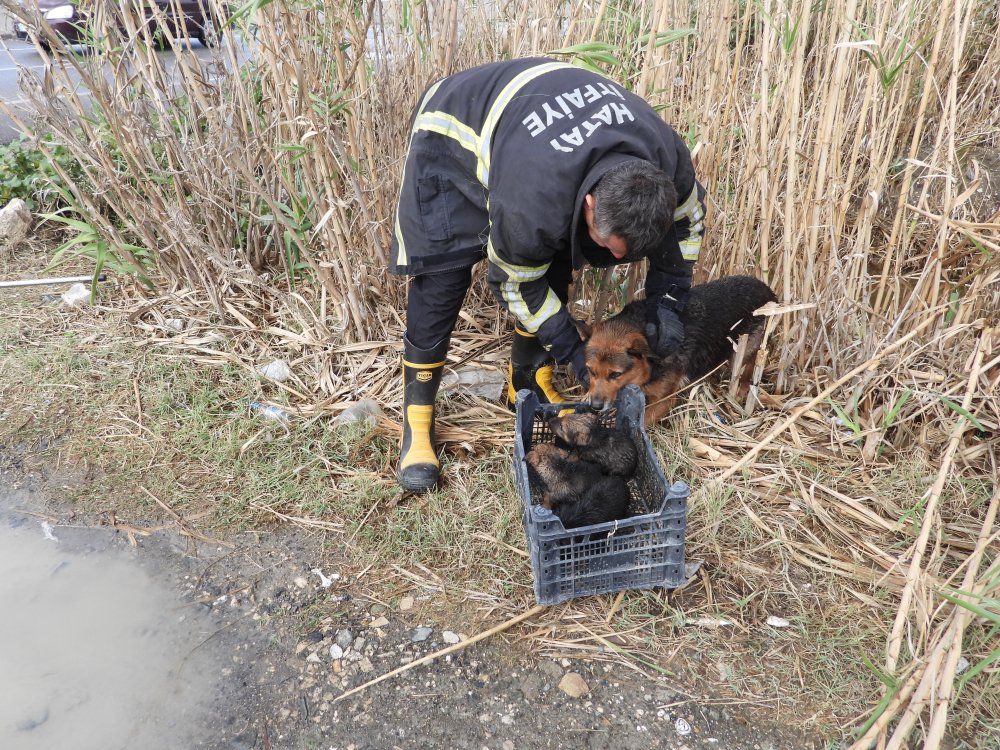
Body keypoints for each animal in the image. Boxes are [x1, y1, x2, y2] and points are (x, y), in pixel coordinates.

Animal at [576, 278, 776, 428]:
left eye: (615, 374)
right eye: (591, 371)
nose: (595, 406)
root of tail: (764, 286)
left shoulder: (663, 401)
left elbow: (643, 423)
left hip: (743, 349)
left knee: (750, 363)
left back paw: (743, 388)